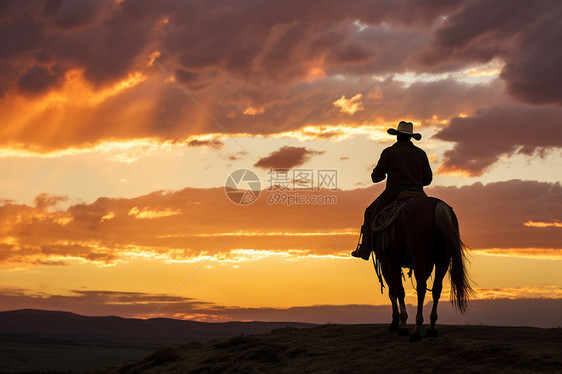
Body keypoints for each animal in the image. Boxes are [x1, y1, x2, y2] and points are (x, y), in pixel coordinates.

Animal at [374, 197, 470, 340]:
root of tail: (438, 204)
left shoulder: (389, 261)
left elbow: (396, 291)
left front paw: (400, 324)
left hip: (419, 256)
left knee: (420, 288)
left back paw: (417, 329)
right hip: (443, 259)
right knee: (436, 289)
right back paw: (431, 328)